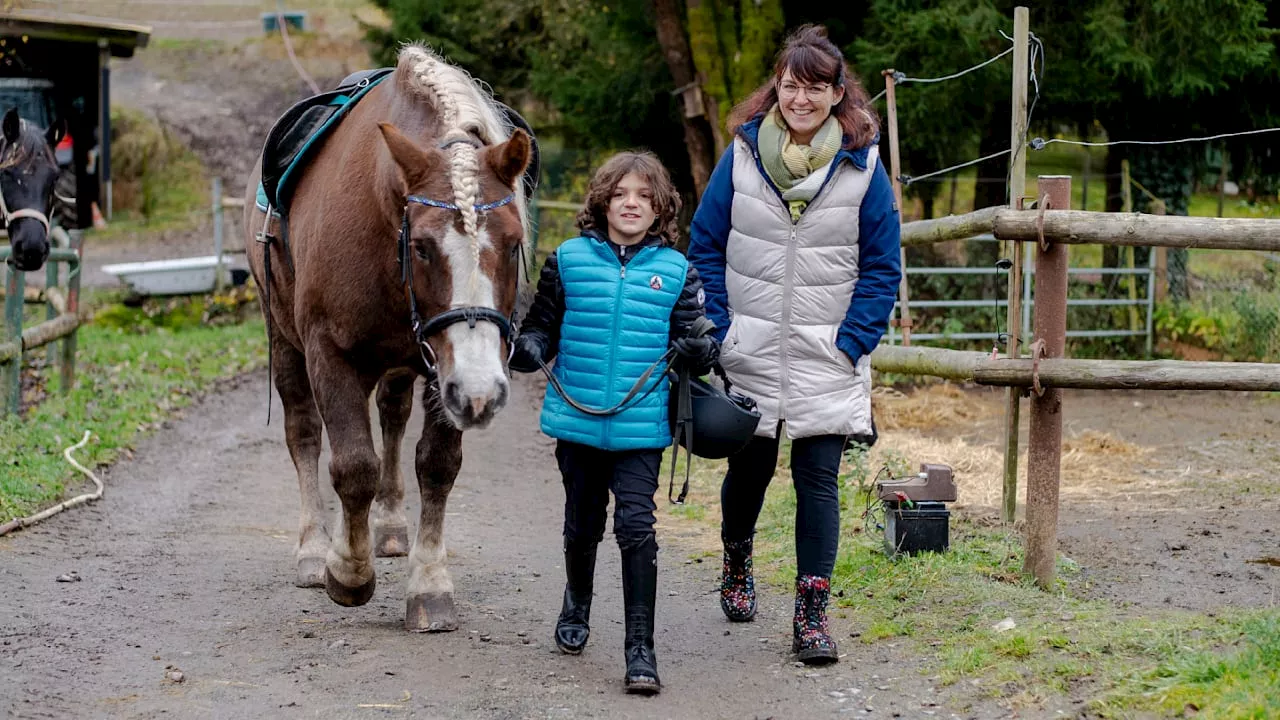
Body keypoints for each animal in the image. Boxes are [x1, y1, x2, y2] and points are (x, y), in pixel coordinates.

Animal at [244, 44, 529, 627]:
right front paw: (347, 572)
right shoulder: (328, 354)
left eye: (513, 244)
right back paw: (313, 548)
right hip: (284, 341)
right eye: (420, 245)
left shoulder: (448, 374)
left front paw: (430, 583)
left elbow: (436, 465)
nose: (483, 392)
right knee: (304, 433)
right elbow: (353, 465)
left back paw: (391, 525)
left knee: (393, 418)